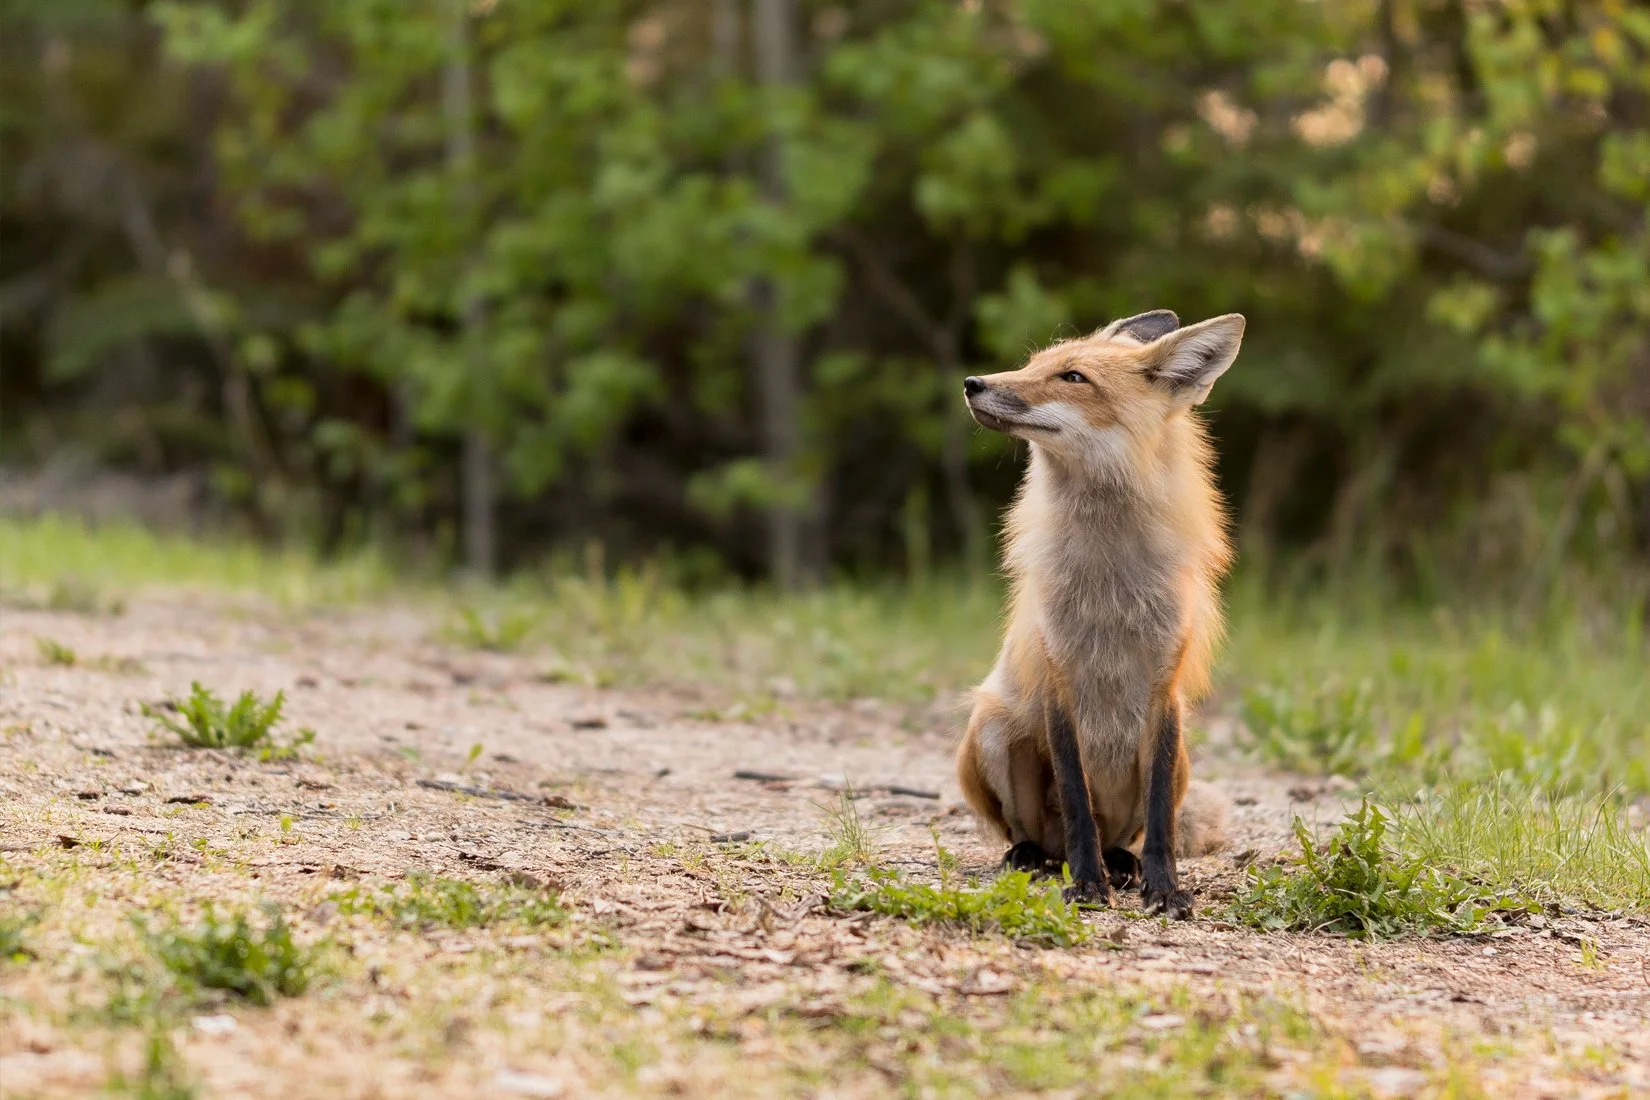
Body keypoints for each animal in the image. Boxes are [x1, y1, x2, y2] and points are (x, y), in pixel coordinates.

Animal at [955, 309, 1240, 919]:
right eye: (1031, 364)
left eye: (1073, 377)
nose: (972, 383)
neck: (1109, 584)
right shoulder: (1058, 680)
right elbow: (1076, 802)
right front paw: (1086, 885)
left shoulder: (1164, 690)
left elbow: (1159, 820)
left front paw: (1164, 887)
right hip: (992, 728)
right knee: (1040, 833)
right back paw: (1036, 858)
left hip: (1182, 759)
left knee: (1128, 832)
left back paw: (1122, 864)